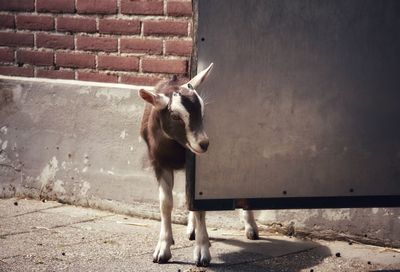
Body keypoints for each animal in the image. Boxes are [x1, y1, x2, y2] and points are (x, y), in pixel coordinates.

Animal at [139, 64, 258, 268]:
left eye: (202, 111)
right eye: (174, 116)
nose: (204, 143)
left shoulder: (195, 166)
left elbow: (199, 205)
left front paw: (202, 253)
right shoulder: (160, 163)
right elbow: (165, 204)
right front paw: (163, 249)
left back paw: (250, 228)